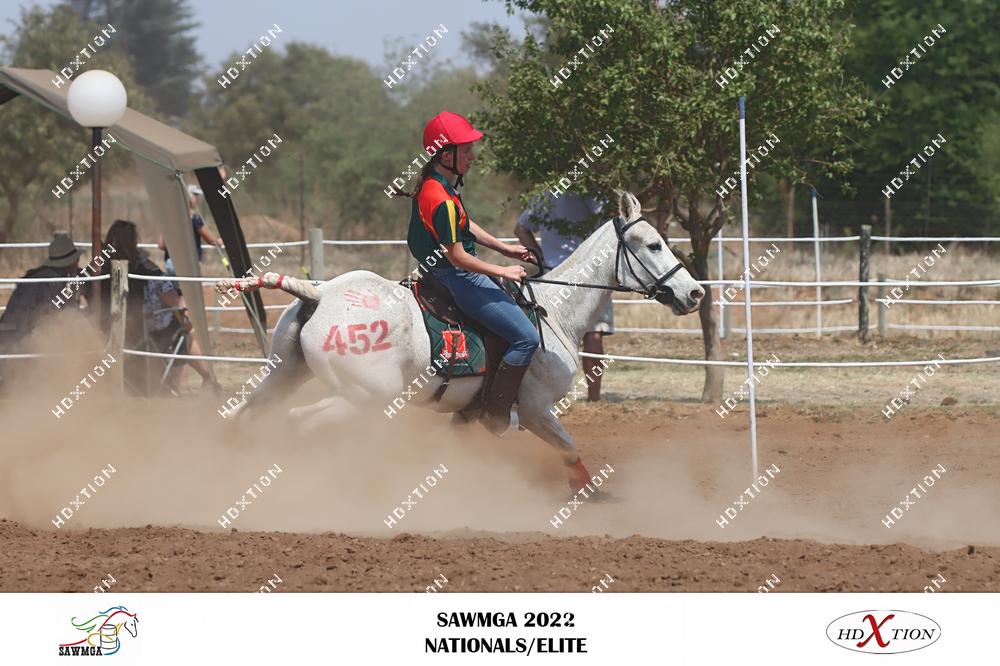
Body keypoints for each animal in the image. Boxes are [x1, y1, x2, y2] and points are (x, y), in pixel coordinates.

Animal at [217, 192, 704, 492]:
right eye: (653, 244)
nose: (695, 293)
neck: (552, 311)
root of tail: (321, 294)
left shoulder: (467, 415)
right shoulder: (534, 409)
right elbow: (568, 448)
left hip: (283, 375)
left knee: (243, 417)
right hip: (365, 397)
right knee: (302, 423)